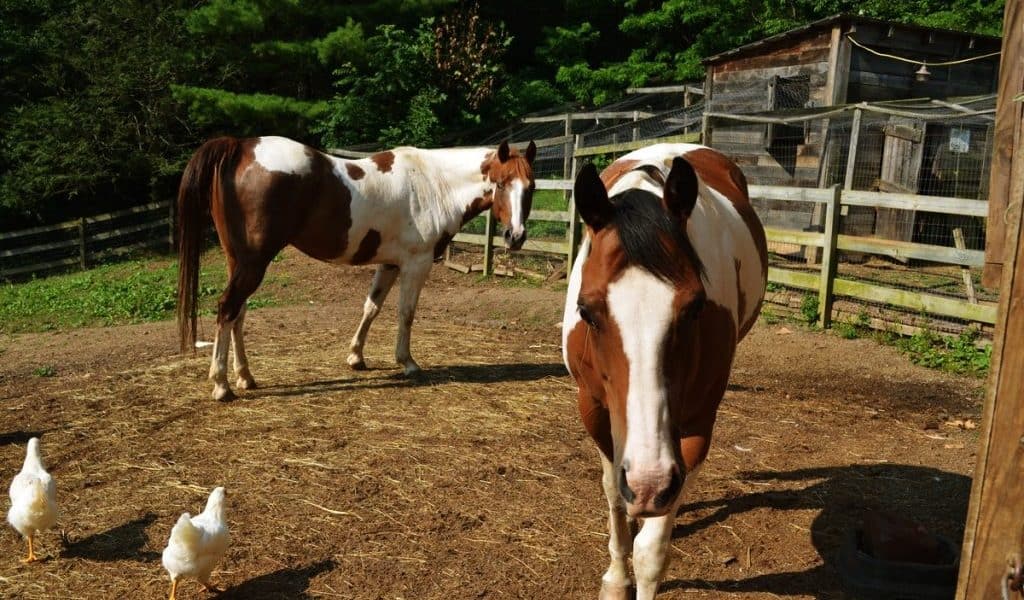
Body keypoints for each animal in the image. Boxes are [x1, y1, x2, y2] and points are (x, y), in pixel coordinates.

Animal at [177, 135, 540, 397]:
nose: (516, 236)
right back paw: (221, 385)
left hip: (238, 261)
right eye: (502, 183)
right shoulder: (417, 263)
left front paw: (356, 357)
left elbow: (372, 307)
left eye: (531, 186)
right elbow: (406, 313)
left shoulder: (390, 264)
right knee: (227, 308)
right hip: (253, 263)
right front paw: (407, 362)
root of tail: (241, 147)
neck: (434, 183)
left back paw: (245, 376)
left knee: (238, 314)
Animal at [561, 142, 770, 593]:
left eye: (695, 308)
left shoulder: (697, 424)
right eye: (586, 311)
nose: (648, 482)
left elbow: (651, 553)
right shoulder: (593, 408)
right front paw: (615, 578)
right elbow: (612, 492)